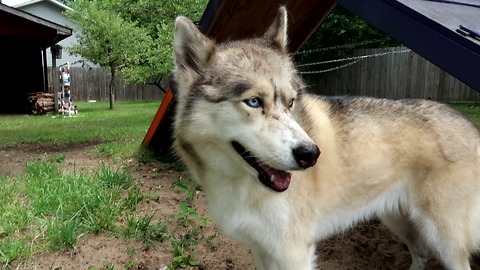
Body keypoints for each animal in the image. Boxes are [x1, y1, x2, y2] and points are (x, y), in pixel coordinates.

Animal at [172, 6, 480, 270]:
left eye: (291, 102)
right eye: (254, 102)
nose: (310, 154)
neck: (241, 187)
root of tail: (470, 125)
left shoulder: (293, 253)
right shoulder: (261, 249)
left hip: (444, 238)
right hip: (399, 220)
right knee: (421, 255)